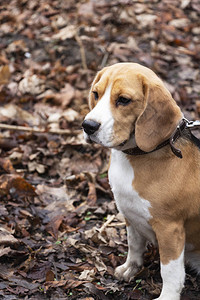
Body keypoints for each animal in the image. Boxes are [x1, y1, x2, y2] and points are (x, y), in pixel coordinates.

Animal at [82, 62, 200, 298]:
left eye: (123, 100)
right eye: (96, 94)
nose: (88, 125)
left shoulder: (170, 229)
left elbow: (170, 271)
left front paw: (167, 297)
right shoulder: (129, 213)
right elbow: (134, 245)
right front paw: (130, 268)